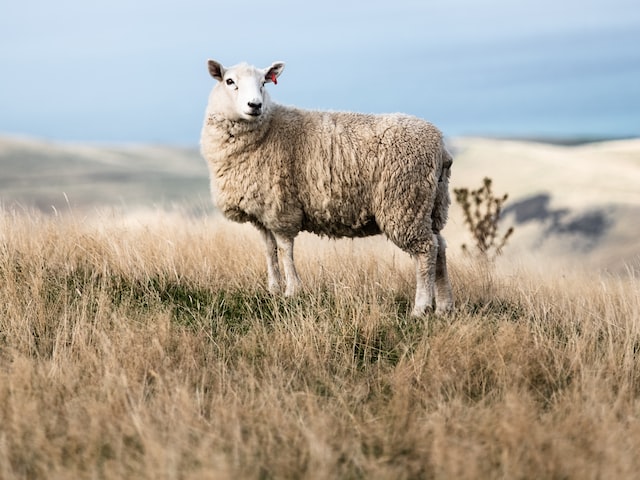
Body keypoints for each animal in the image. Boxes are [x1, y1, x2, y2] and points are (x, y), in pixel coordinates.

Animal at [200, 59, 456, 316]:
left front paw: (292, 291)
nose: (255, 105)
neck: (267, 129)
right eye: (229, 81)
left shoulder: (281, 209)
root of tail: (440, 146)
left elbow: (285, 250)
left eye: (264, 82)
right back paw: (444, 306)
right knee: (440, 247)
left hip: (405, 203)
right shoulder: (262, 213)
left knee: (426, 250)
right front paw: (273, 289)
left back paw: (421, 308)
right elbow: (269, 250)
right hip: (431, 205)